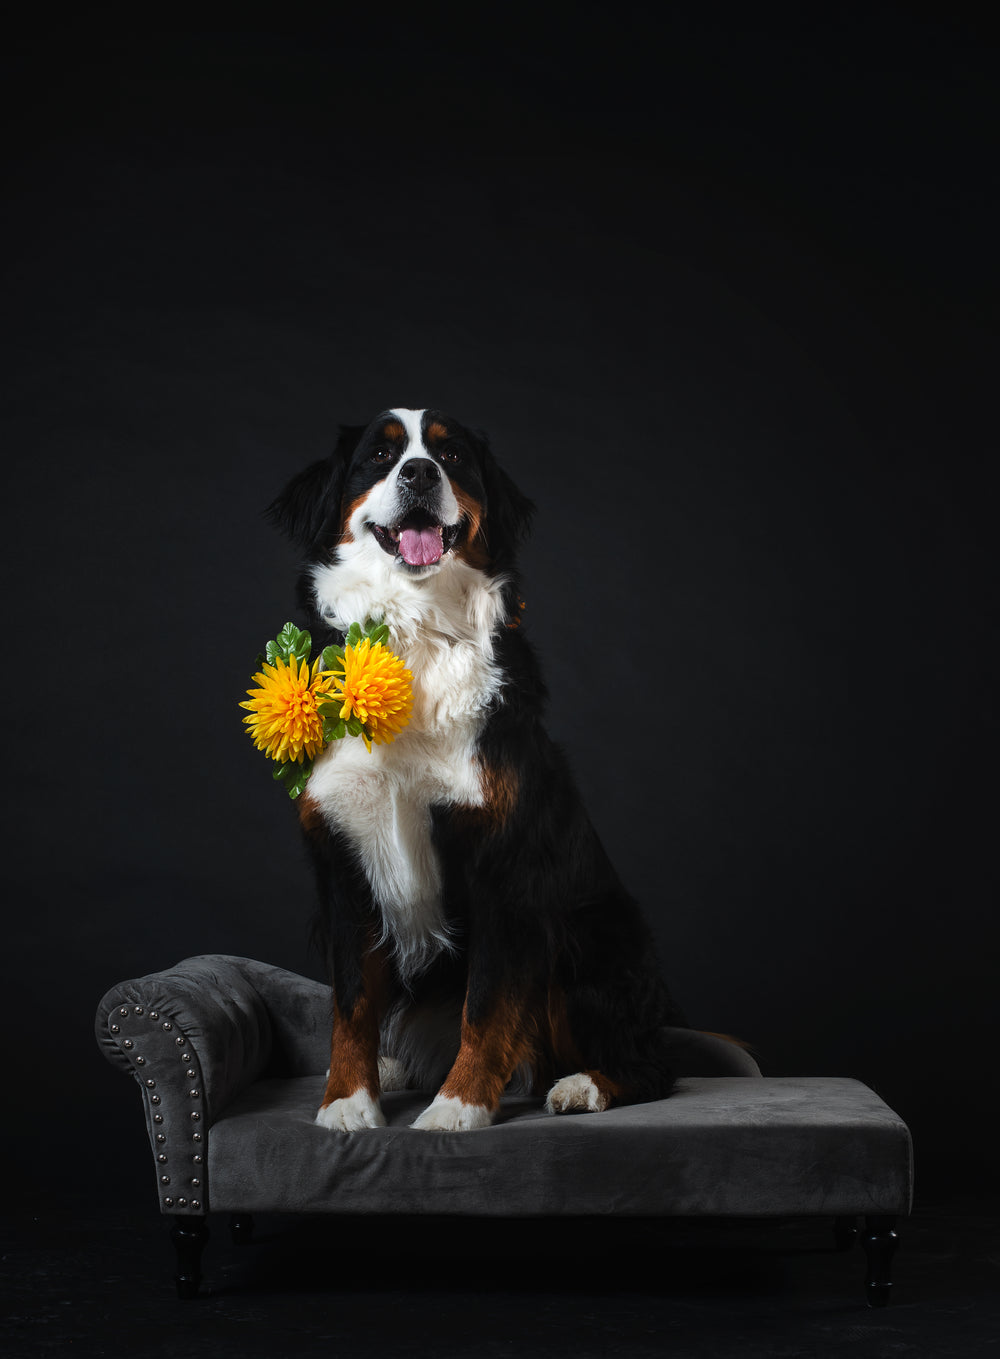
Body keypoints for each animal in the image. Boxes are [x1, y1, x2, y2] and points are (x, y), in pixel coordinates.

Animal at [266, 407, 687, 1130]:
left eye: (452, 456)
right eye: (379, 456)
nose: (418, 473)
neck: (411, 633)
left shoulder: (503, 865)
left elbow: (486, 1004)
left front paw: (457, 1107)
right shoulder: (343, 862)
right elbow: (350, 1002)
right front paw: (347, 1101)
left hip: (588, 935)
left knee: (649, 1064)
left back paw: (583, 1086)